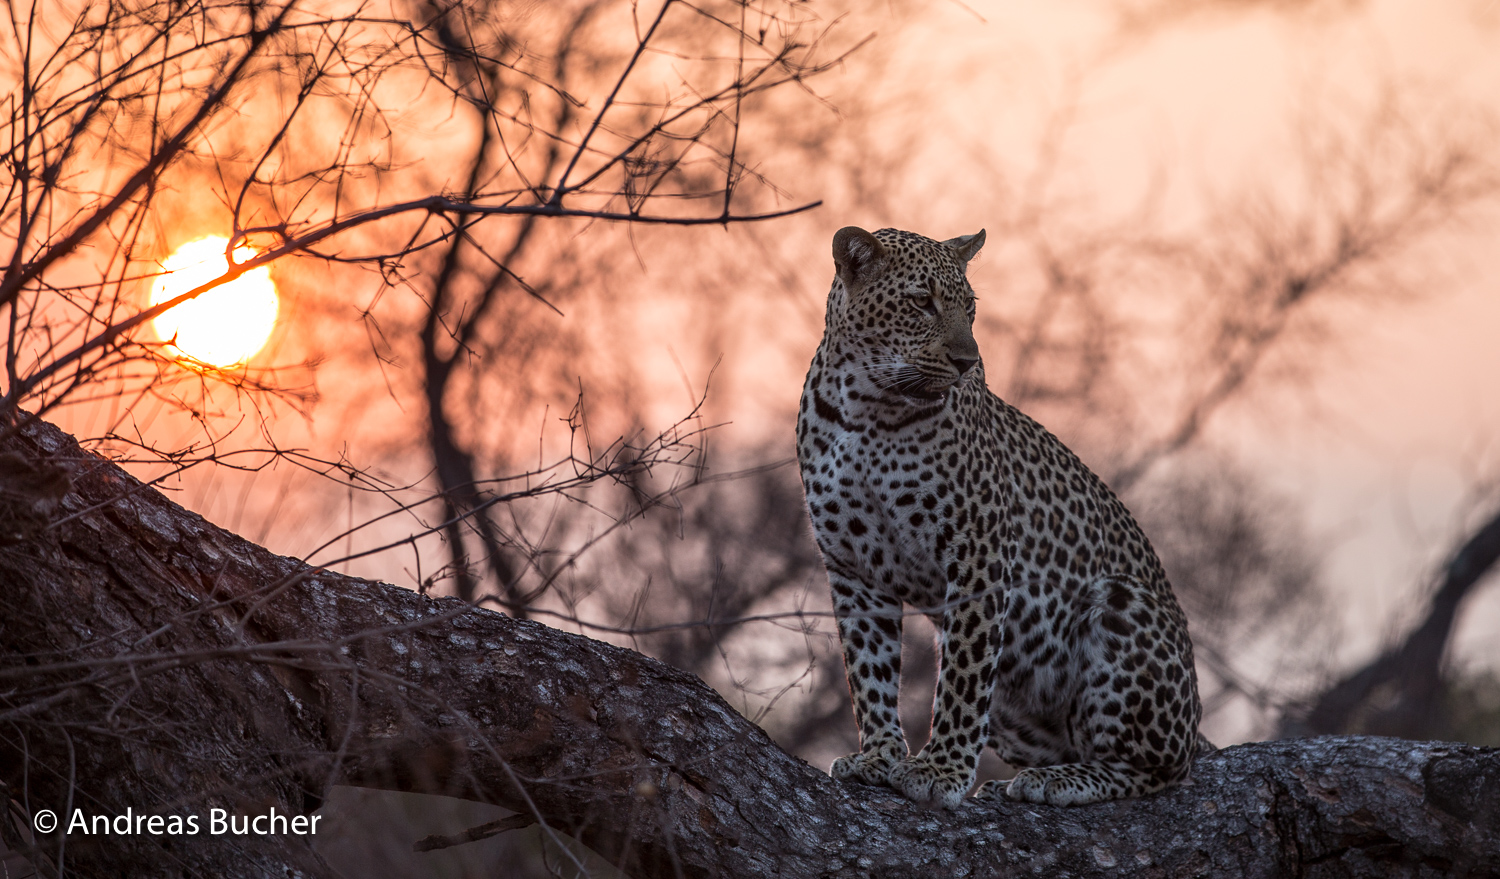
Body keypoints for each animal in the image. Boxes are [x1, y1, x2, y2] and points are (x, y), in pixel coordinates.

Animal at [798, 222, 1206, 804]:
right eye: (921, 302)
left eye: (969, 308)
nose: (966, 361)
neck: (866, 405)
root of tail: (1196, 726)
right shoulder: (852, 564)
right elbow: (868, 668)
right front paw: (878, 755)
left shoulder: (979, 551)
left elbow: (962, 678)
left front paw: (939, 770)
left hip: (1121, 606)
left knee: (1157, 769)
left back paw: (1056, 782)